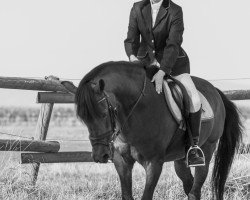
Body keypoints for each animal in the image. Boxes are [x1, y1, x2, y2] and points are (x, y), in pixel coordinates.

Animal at [74, 61, 242, 200]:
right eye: (83, 118)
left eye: (103, 113)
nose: (100, 156)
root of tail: (215, 91)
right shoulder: (121, 161)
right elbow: (127, 195)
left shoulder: (153, 163)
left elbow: (146, 196)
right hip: (181, 158)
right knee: (189, 185)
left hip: (207, 149)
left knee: (195, 190)